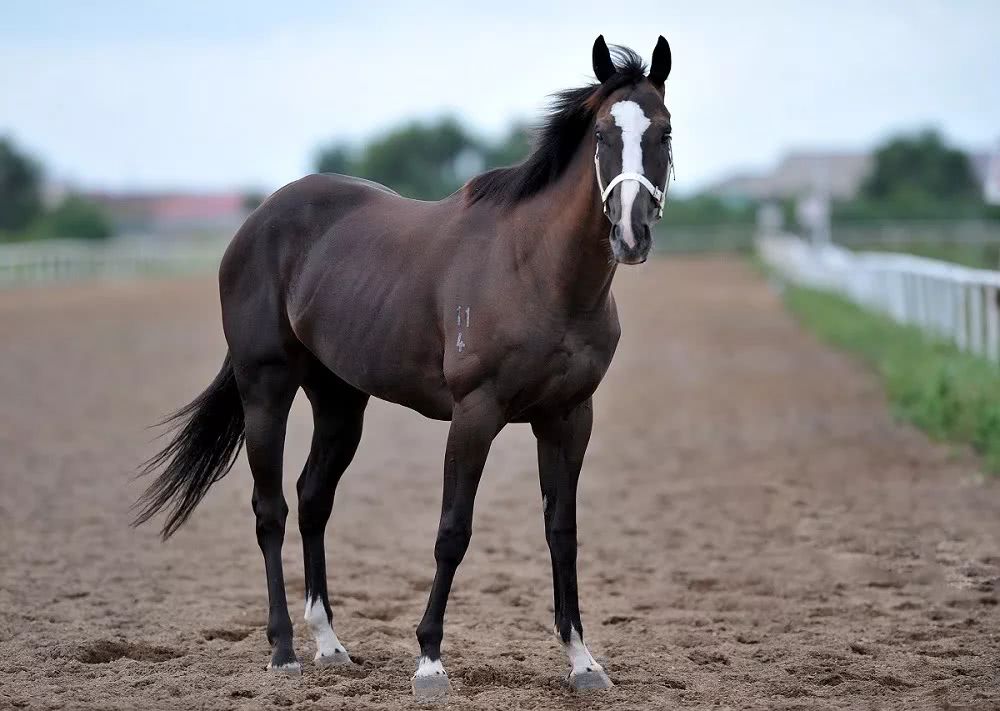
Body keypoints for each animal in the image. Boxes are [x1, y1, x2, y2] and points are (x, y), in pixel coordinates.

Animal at [135, 36, 672, 700]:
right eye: (601, 133)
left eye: (665, 132)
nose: (631, 232)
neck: (537, 271)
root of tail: (256, 222)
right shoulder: (475, 414)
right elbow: (453, 532)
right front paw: (430, 661)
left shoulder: (569, 418)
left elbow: (562, 532)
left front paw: (582, 661)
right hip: (266, 389)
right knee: (271, 510)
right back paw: (283, 650)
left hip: (340, 400)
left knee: (312, 499)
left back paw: (329, 645)